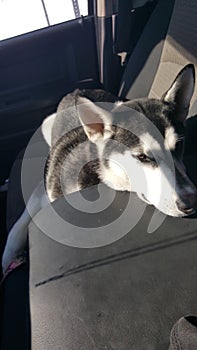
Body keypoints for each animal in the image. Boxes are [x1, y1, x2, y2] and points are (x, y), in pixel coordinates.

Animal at [1, 65, 197, 274]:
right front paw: (8, 258)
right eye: (142, 157)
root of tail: (79, 89)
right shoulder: (44, 189)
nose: (191, 201)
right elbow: (19, 226)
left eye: (179, 145)